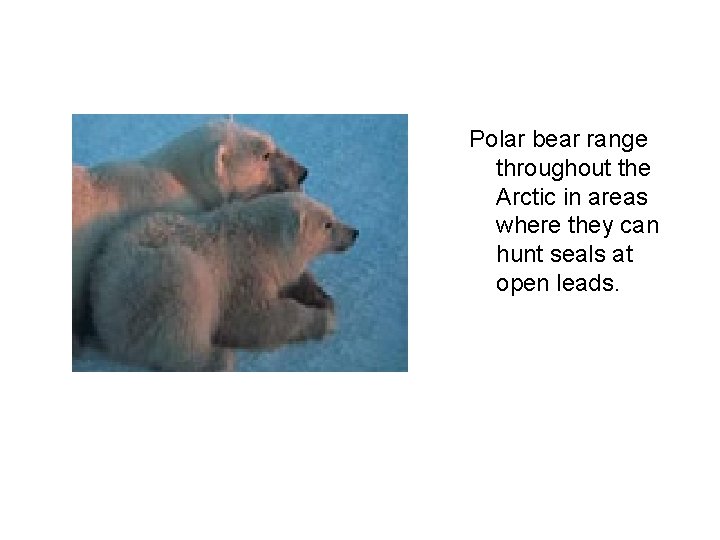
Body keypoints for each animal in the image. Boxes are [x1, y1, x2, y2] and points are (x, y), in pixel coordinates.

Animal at [90, 192, 358, 371]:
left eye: (332, 214)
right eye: (327, 224)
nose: (354, 232)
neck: (263, 240)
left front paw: (320, 296)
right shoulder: (243, 271)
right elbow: (252, 316)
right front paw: (325, 320)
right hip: (153, 281)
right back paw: (218, 358)